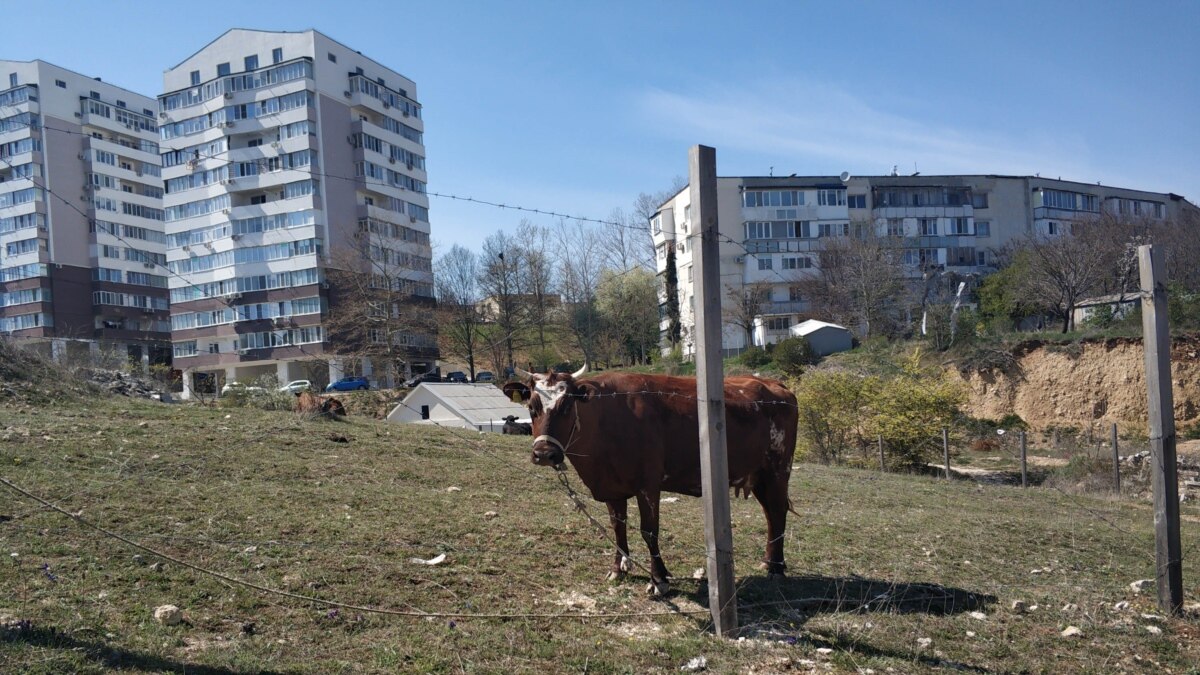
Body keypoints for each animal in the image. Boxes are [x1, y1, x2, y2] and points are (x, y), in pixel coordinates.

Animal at [523, 365, 796, 590]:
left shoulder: (648, 485)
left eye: (566, 407)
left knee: (778, 511)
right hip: (759, 476)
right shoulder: (613, 487)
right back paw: (768, 561)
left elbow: (649, 531)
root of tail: (774, 384)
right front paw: (617, 569)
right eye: (532, 408)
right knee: (770, 515)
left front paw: (659, 579)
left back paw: (776, 568)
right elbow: (617, 527)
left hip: (778, 471)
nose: (544, 454)